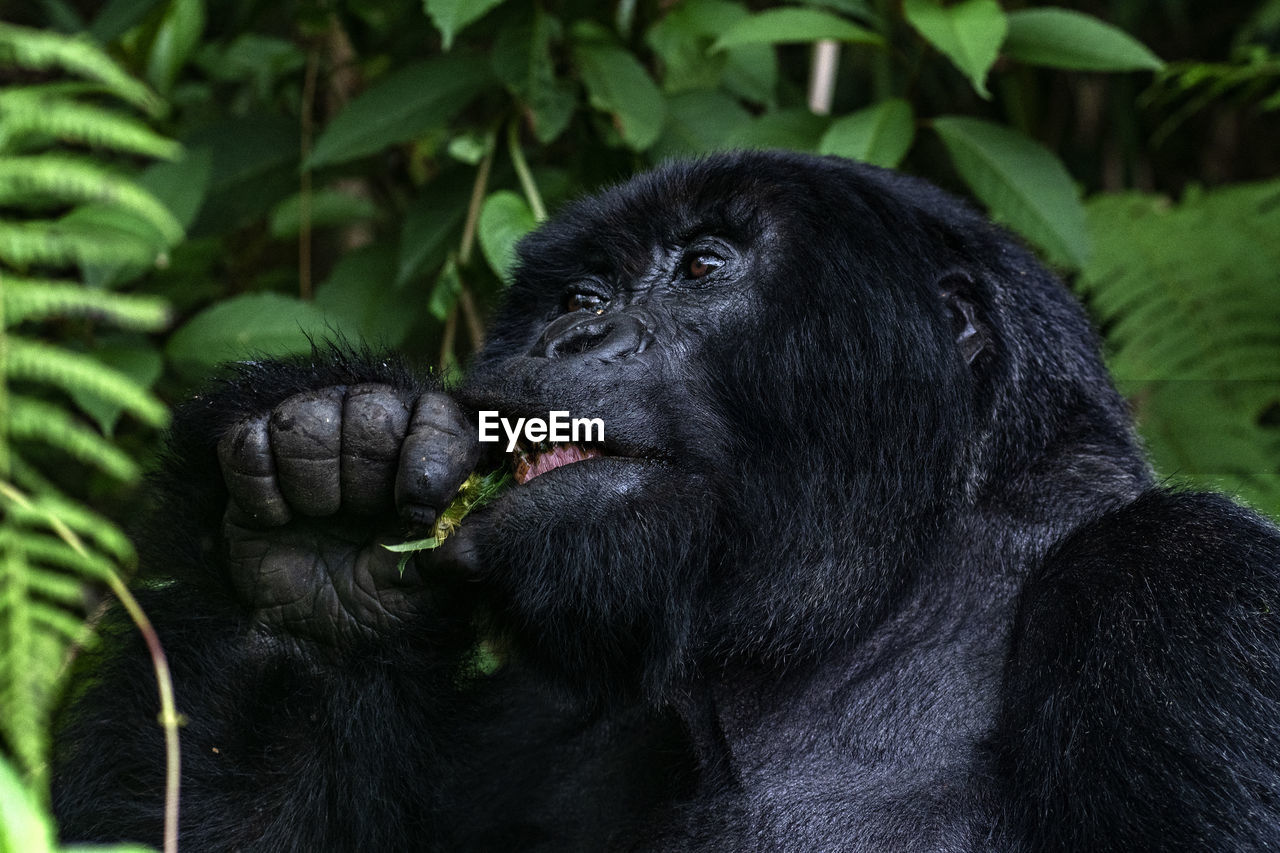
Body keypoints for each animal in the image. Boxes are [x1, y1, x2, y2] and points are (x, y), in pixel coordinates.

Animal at [55, 153, 1280, 850]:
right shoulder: (532, 719)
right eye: (578, 294)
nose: (570, 337)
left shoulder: (1191, 606)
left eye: (702, 266)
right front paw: (319, 550)